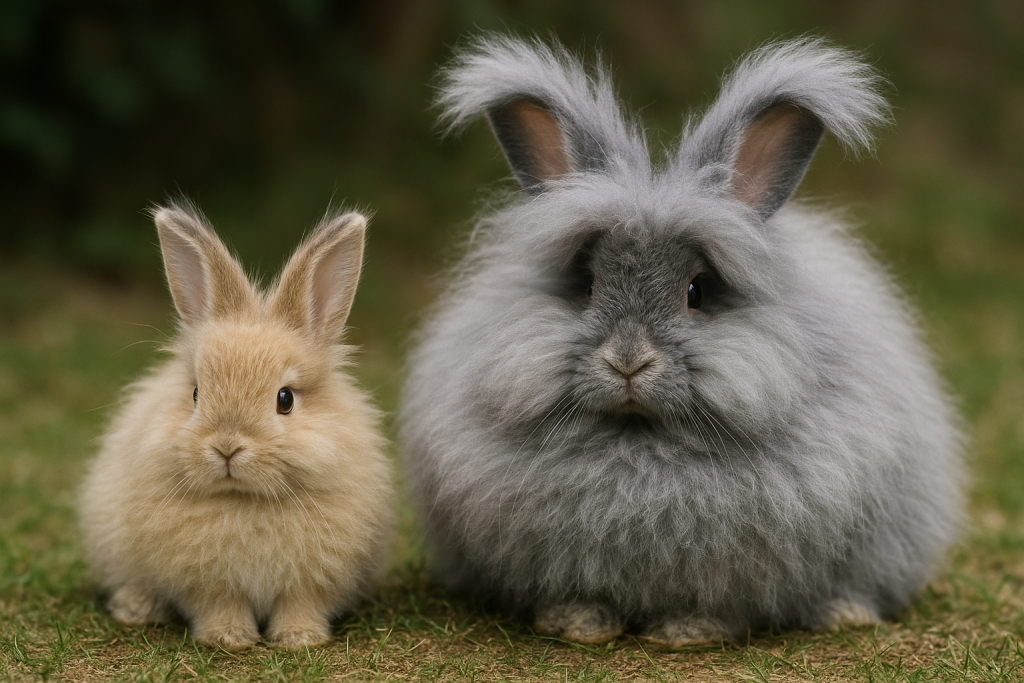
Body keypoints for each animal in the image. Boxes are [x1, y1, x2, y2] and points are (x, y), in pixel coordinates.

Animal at [79, 202, 394, 650]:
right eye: (196, 393)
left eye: (285, 399)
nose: (226, 447)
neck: (245, 501)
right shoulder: (209, 585)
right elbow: (220, 605)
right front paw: (228, 638)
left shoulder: (309, 583)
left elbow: (300, 604)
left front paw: (299, 639)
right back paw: (136, 609)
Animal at [399, 35, 964, 647]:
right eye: (586, 284)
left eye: (698, 290)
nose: (627, 361)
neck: (640, 441)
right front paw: (579, 625)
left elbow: (715, 603)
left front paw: (686, 633)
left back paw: (845, 614)